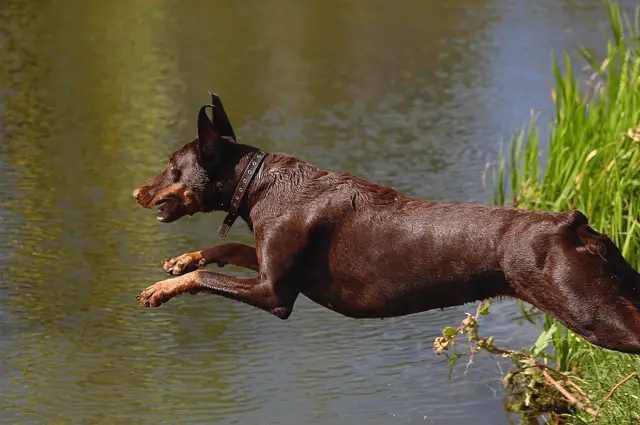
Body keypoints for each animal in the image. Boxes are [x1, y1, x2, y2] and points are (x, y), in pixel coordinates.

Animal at [131, 93, 640, 354]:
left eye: (171, 167)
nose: (136, 191)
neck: (259, 186)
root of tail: (573, 223)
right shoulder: (271, 265)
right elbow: (224, 252)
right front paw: (181, 260)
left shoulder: (274, 295)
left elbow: (207, 277)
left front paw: (163, 287)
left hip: (592, 313)